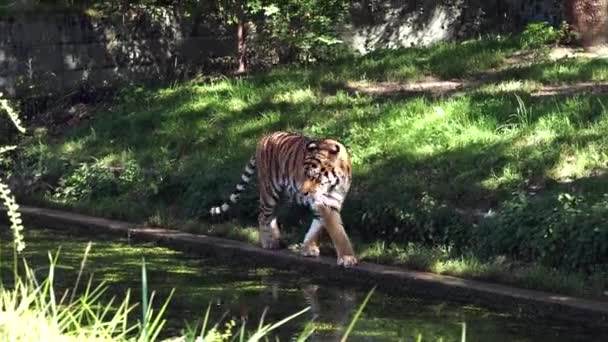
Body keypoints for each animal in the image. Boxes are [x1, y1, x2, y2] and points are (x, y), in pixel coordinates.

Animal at [211, 131, 358, 268]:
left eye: (315, 177)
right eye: (305, 174)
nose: (304, 192)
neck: (334, 184)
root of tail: (264, 137)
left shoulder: (332, 202)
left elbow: (318, 227)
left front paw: (308, 248)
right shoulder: (325, 202)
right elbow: (337, 232)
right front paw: (347, 258)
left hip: (284, 197)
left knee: (272, 216)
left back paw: (276, 239)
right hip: (270, 191)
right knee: (262, 216)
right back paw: (268, 242)